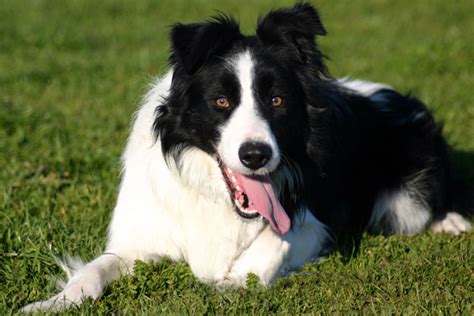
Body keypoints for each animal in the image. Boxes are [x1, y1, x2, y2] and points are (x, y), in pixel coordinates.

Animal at [24, 2, 472, 312]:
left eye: (277, 100)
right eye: (221, 101)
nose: (256, 155)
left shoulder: (313, 222)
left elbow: (277, 240)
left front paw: (233, 281)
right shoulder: (139, 238)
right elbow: (93, 270)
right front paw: (52, 303)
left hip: (406, 203)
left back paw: (451, 221)